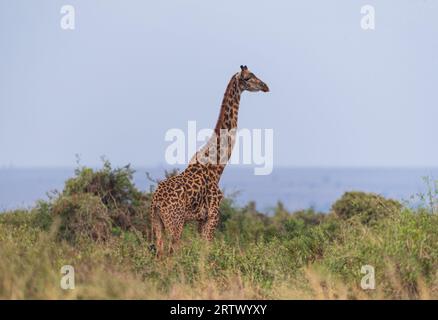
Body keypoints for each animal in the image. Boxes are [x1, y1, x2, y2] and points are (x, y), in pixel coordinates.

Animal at [150, 65, 266, 255]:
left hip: (156, 223)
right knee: (170, 254)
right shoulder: (212, 216)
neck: (216, 166)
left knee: (159, 253)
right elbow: (207, 252)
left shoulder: (200, 220)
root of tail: (156, 202)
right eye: (248, 77)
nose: (265, 86)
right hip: (175, 223)